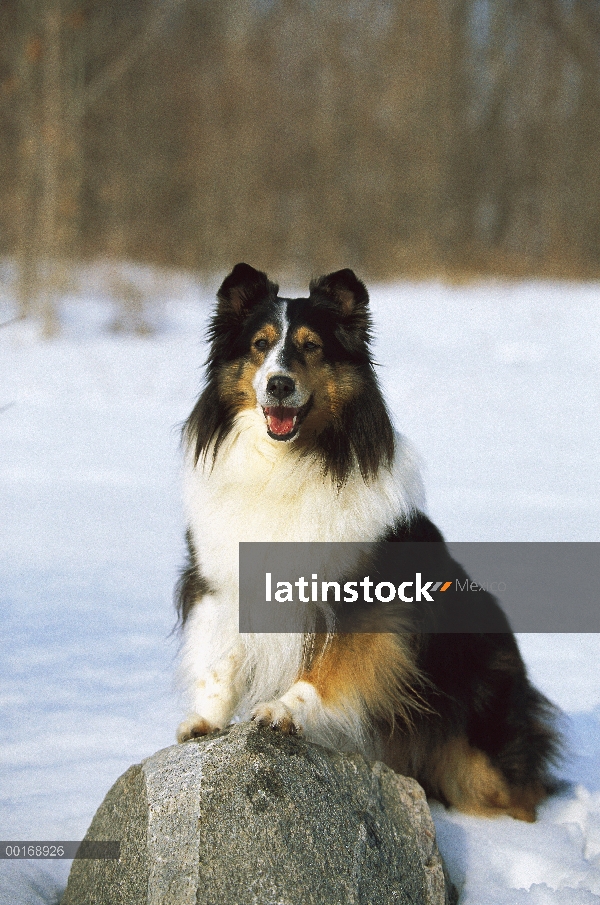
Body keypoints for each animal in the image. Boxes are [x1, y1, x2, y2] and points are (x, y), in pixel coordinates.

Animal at [176, 262, 560, 820]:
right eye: (260, 344)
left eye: (311, 346)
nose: (279, 384)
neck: (284, 465)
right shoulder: (221, 581)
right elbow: (218, 663)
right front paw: (204, 722)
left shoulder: (362, 601)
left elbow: (327, 667)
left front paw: (282, 711)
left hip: (477, 748)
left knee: (517, 793)